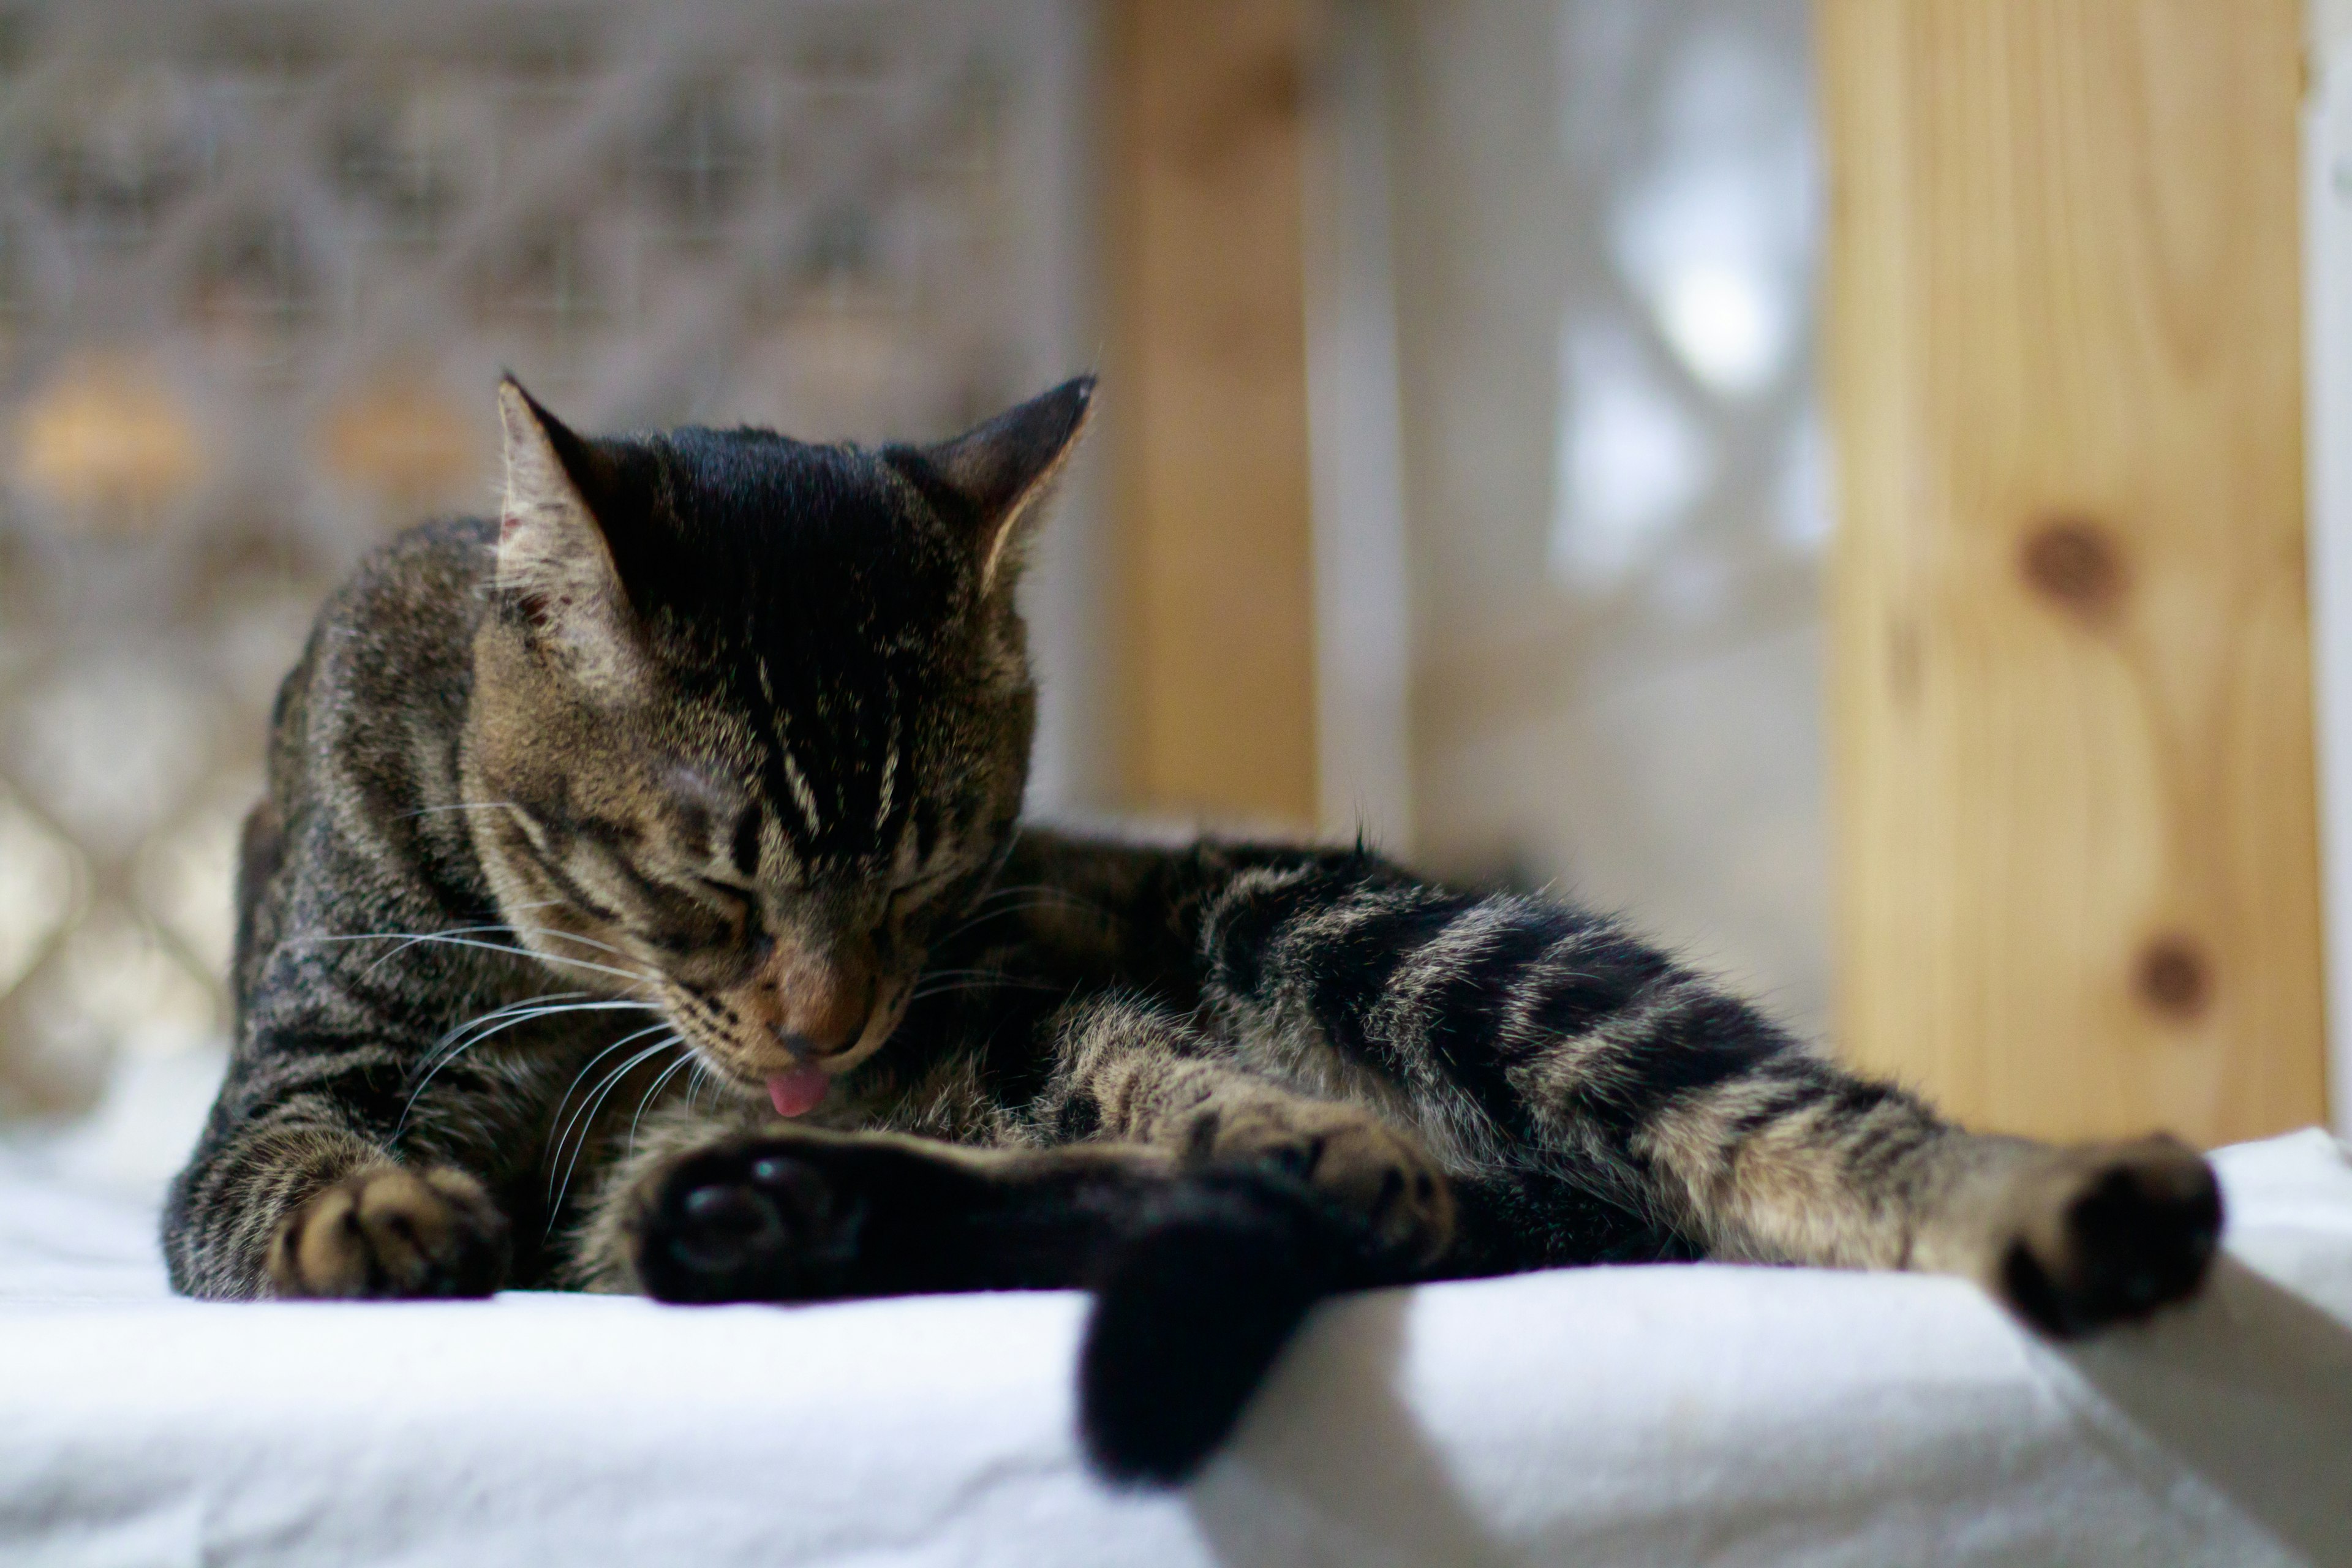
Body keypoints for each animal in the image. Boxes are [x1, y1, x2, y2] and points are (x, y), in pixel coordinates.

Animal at [161, 376, 2220, 1485]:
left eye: (928, 860)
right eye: (710, 882)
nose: (821, 1029)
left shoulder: (979, 1003)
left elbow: (1135, 1064)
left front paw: (1289, 1129)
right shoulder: (294, 1079)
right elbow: (286, 1166)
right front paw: (380, 1215)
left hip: (1355, 926)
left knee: (1780, 1129)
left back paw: (2064, 1200)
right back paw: (787, 1211)